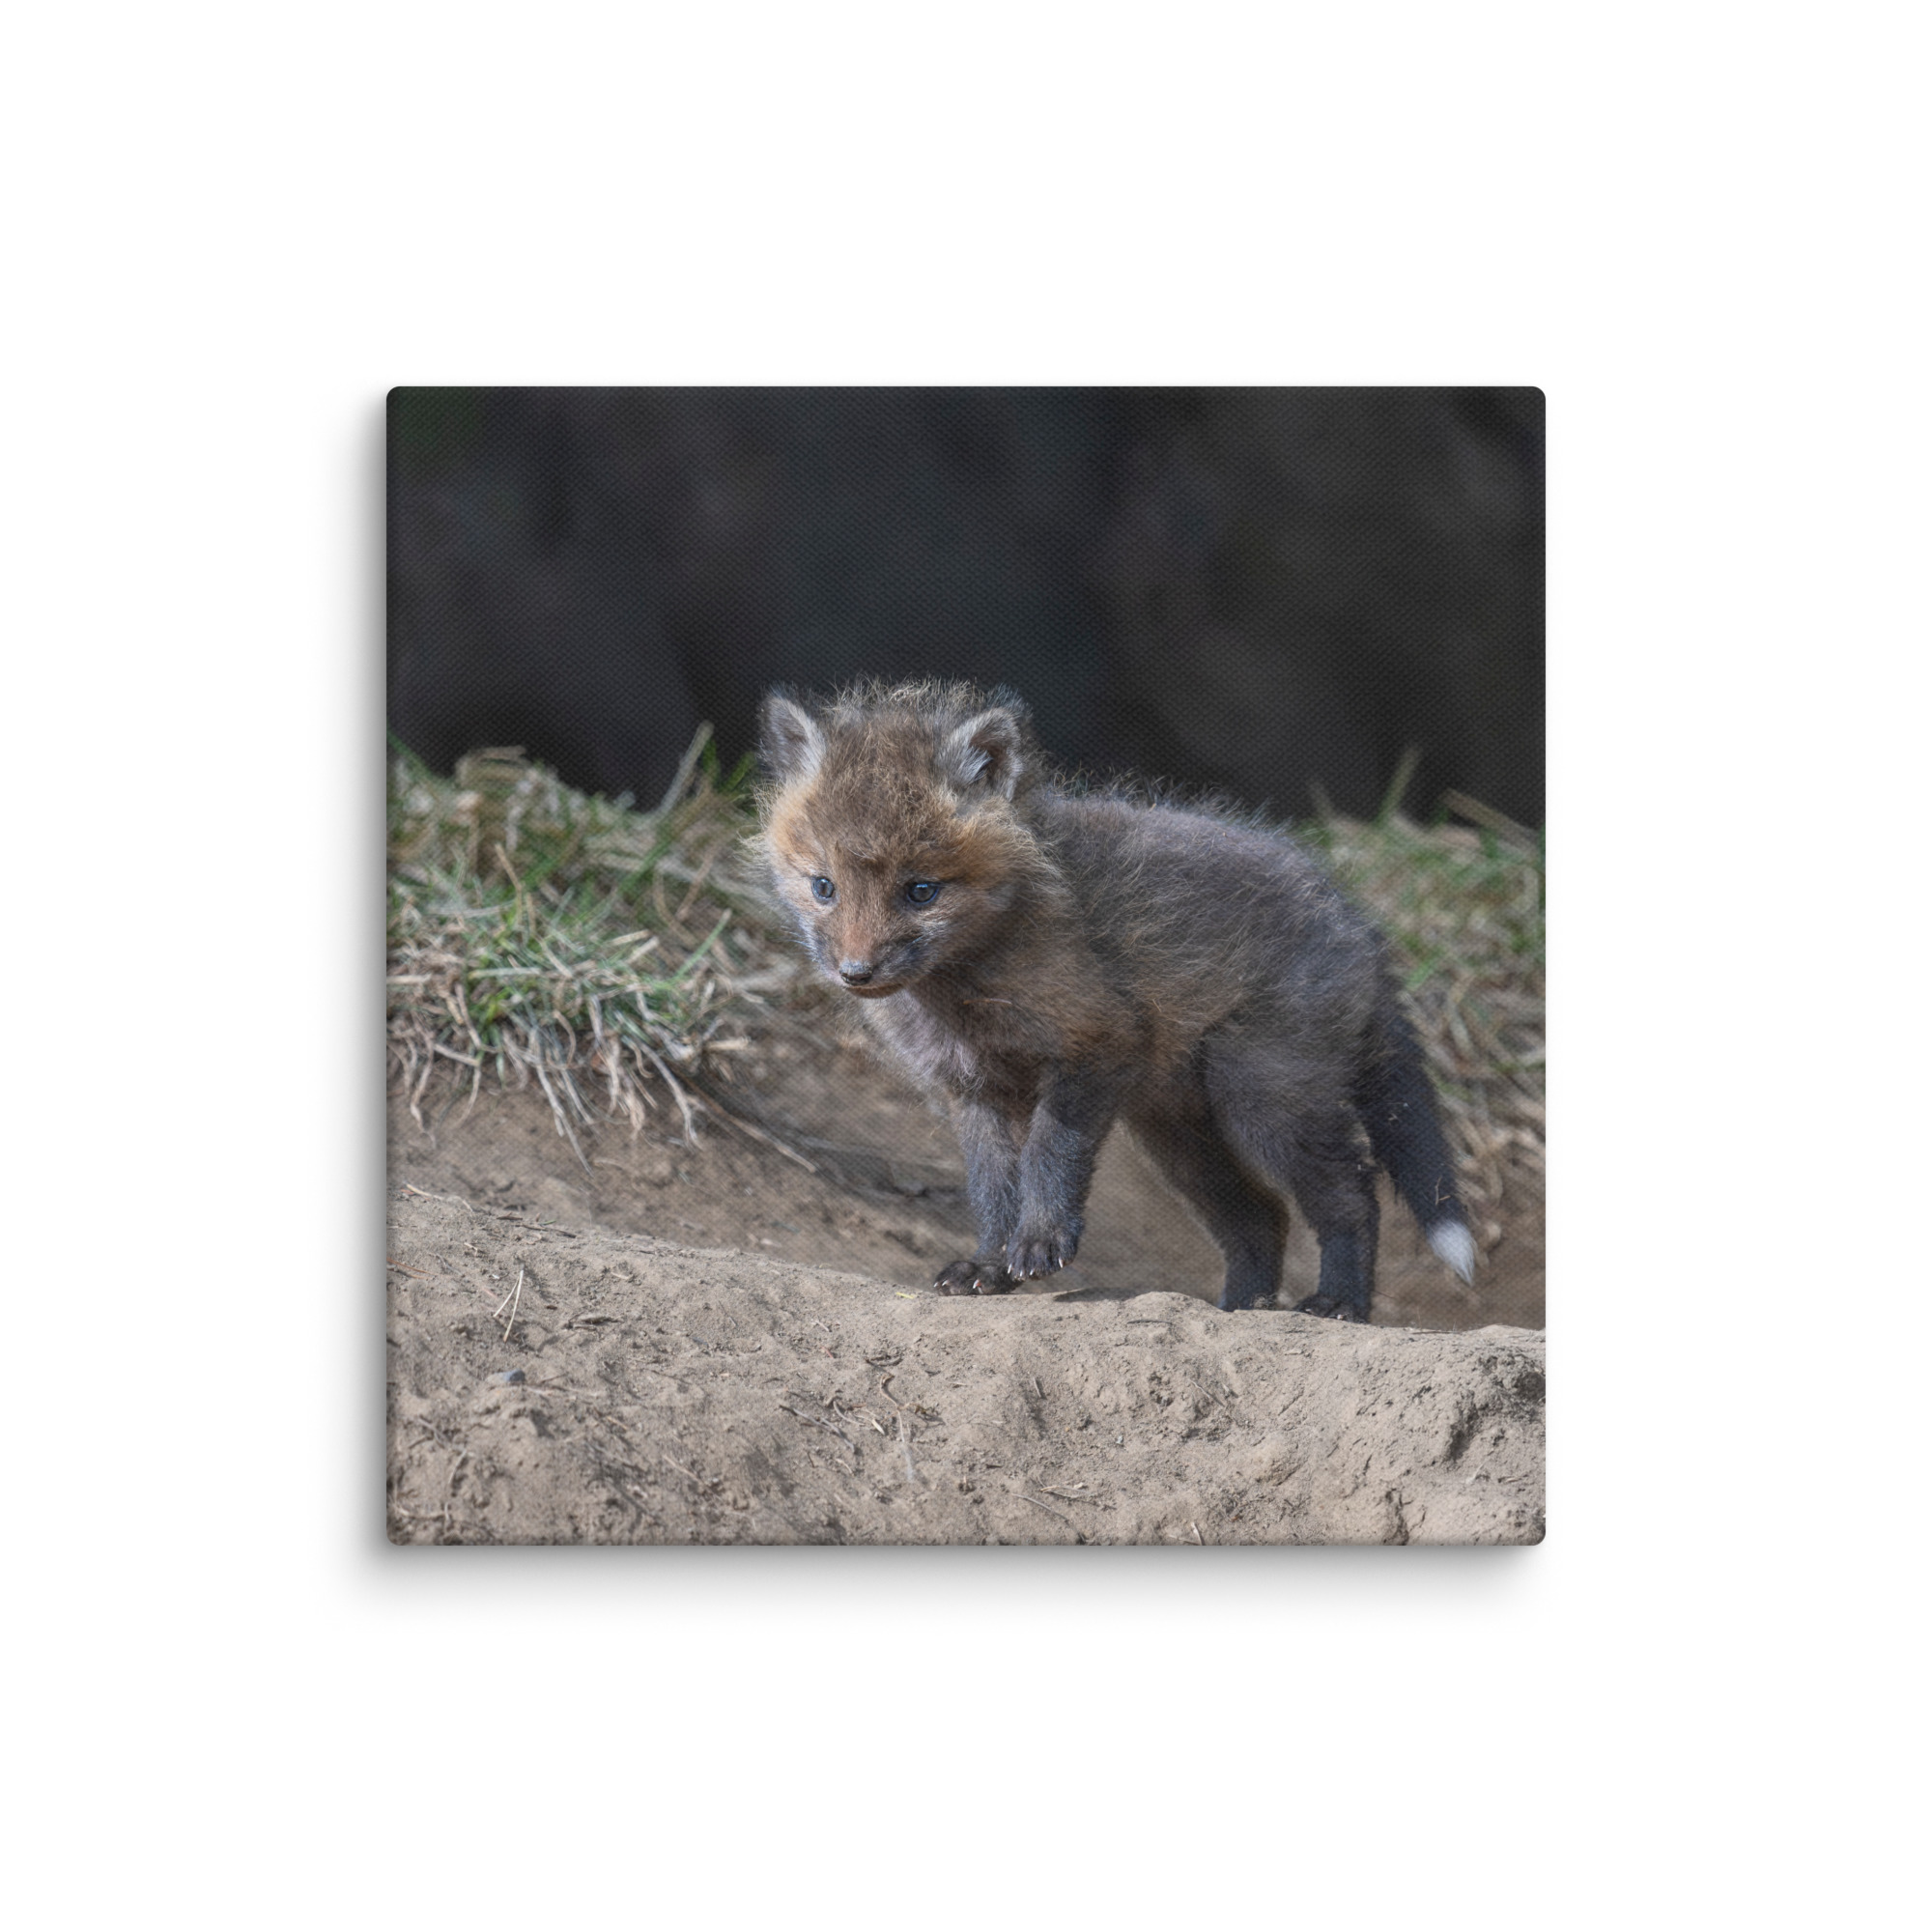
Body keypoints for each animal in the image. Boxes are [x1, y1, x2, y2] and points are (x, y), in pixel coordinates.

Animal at [755, 679, 1476, 1321]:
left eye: (921, 891)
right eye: (823, 887)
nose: (856, 972)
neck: (963, 995)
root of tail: (1359, 925)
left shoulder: (1097, 1042)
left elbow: (1049, 1155)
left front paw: (1040, 1242)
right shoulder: (974, 1089)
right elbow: (992, 1190)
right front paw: (989, 1265)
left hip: (1264, 1099)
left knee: (1352, 1195)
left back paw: (1339, 1303)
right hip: (1179, 1134)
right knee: (1262, 1217)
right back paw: (1240, 1309)